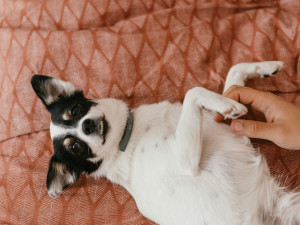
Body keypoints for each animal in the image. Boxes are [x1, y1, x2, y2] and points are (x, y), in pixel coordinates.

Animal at [31, 60, 300, 224]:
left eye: (75, 110)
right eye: (75, 148)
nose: (86, 125)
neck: (127, 137)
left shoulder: (212, 118)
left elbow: (233, 75)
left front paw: (266, 68)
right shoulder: (185, 161)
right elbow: (194, 91)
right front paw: (229, 105)